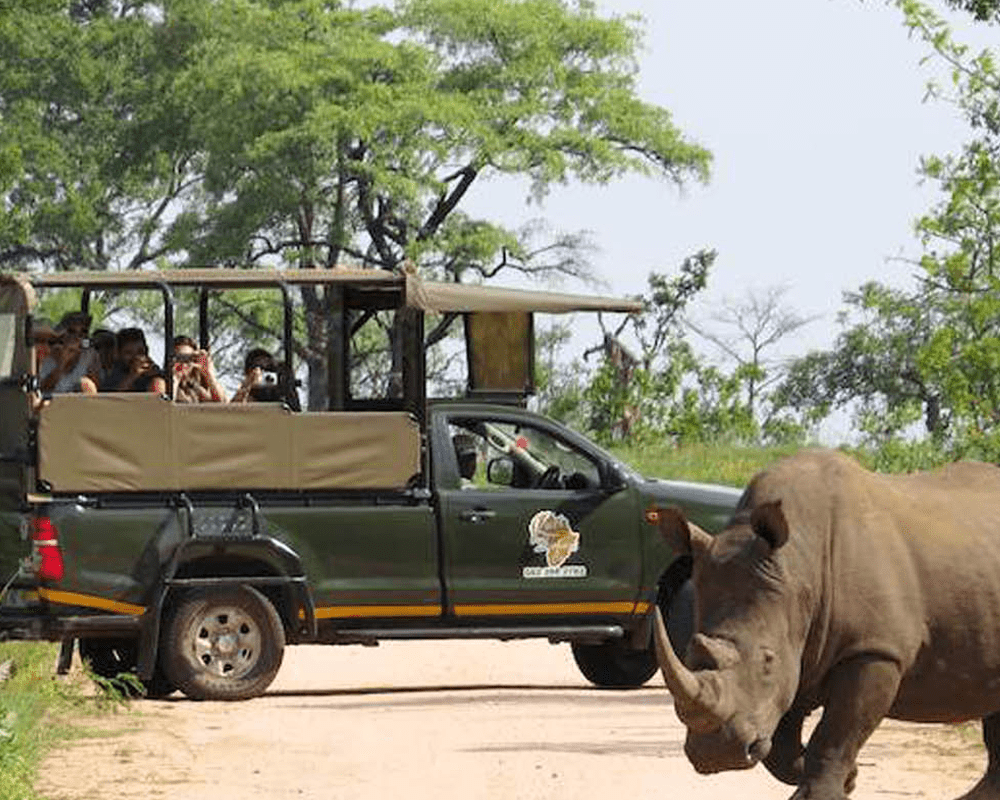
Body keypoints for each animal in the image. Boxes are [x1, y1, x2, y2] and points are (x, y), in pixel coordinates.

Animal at [652, 448, 1000, 800]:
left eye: (767, 660)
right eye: (690, 653)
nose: (716, 754)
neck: (797, 564)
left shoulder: (874, 648)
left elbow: (839, 731)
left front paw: (826, 790)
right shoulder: (796, 646)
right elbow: (781, 744)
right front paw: (848, 778)